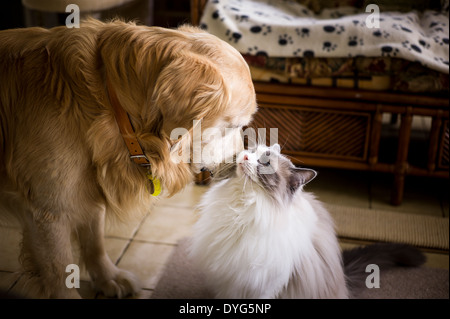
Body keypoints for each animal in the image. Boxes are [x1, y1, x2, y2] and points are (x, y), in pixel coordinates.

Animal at [0, 19, 256, 300]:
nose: (240, 163)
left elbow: (95, 241)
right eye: (234, 125)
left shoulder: (87, 187)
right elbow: (59, 270)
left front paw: (108, 278)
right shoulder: (48, 211)